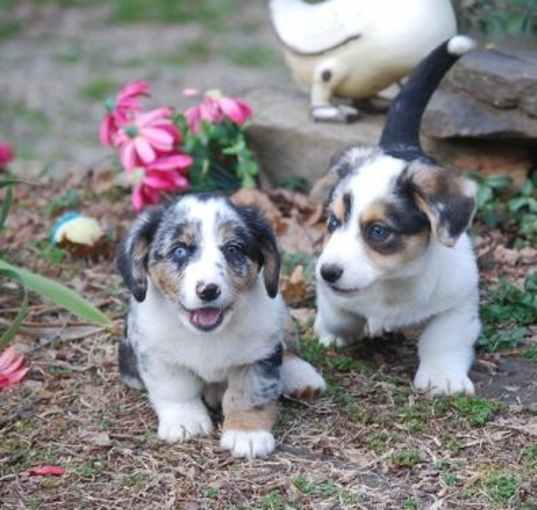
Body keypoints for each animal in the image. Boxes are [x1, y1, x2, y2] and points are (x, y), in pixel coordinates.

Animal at [118, 194, 326, 458]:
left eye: (233, 248)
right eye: (179, 250)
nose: (208, 290)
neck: (208, 336)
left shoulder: (259, 354)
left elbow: (249, 394)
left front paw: (247, 434)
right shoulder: (156, 354)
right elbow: (176, 388)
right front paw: (185, 421)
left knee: (288, 349)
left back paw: (302, 378)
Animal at [312, 35, 480, 396]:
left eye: (378, 231)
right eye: (333, 222)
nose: (328, 272)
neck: (393, 283)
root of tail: (401, 144)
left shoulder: (458, 301)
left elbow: (444, 339)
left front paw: (443, 378)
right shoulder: (333, 294)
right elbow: (339, 314)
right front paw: (333, 331)